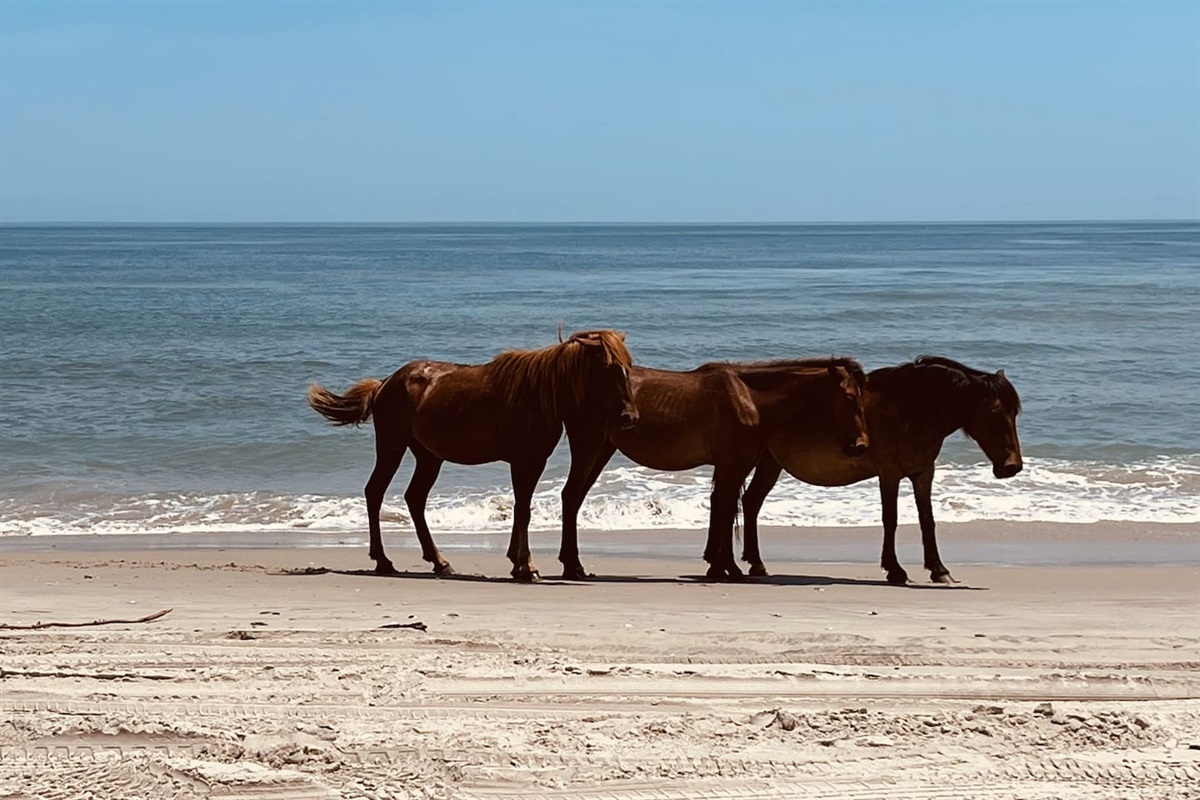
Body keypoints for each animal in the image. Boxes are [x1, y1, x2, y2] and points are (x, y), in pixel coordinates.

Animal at [307, 330, 638, 582]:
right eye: (606, 365)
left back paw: (439, 562)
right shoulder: (524, 462)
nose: (630, 416)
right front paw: (526, 567)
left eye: (628, 365)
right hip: (392, 447)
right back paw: (384, 561)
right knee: (375, 492)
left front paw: (518, 565)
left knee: (415, 498)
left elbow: (521, 508)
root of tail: (385, 384)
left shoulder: (534, 462)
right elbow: (524, 510)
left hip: (429, 457)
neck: (536, 394)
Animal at [558, 358, 870, 581]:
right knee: (571, 495)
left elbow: (723, 507)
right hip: (589, 446)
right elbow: (726, 507)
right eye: (850, 398)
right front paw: (728, 567)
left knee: (575, 498)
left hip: (602, 450)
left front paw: (718, 566)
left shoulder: (731, 465)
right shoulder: (733, 464)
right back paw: (573, 566)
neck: (750, 399)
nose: (861, 445)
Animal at [738, 356, 1023, 585]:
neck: (912, 409)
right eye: (994, 411)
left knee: (751, 502)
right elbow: (891, 519)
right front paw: (895, 570)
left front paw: (939, 570)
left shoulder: (923, 473)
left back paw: (757, 564)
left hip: (771, 462)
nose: (1012, 466)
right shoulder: (889, 474)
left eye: (1015, 412)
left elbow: (927, 519)